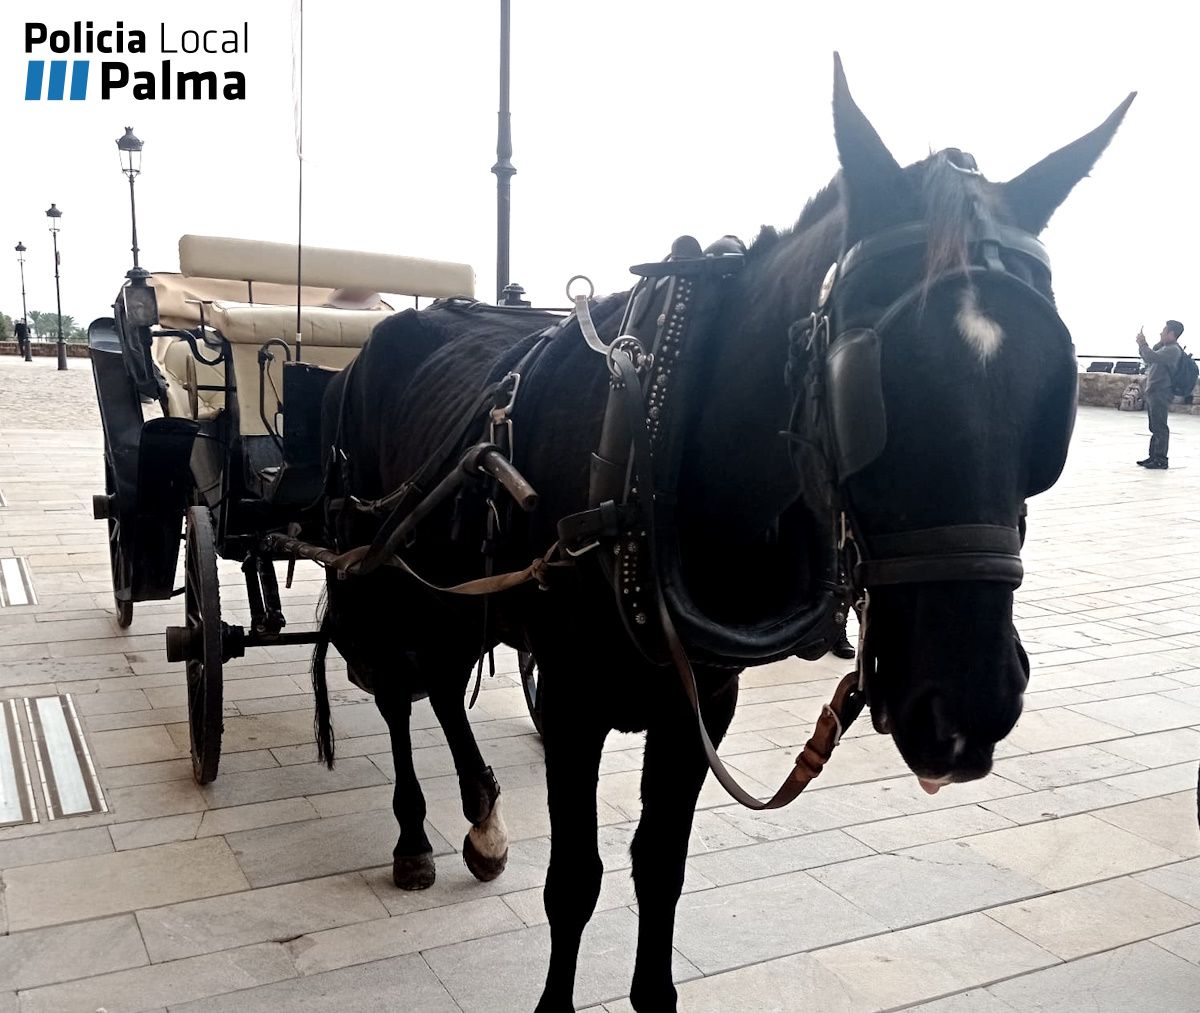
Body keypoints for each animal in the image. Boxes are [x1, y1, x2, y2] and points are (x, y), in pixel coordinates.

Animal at [314, 61, 1128, 1012]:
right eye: (868, 396)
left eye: (1050, 399)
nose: (966, 709)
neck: (657, 442)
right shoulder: (574, 700)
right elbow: (575, 880)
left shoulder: (702, 700)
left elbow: (659, 867)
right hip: (381, 566)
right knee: (401, 686)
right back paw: (416, 834)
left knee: (442, 682)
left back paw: (481, 817)